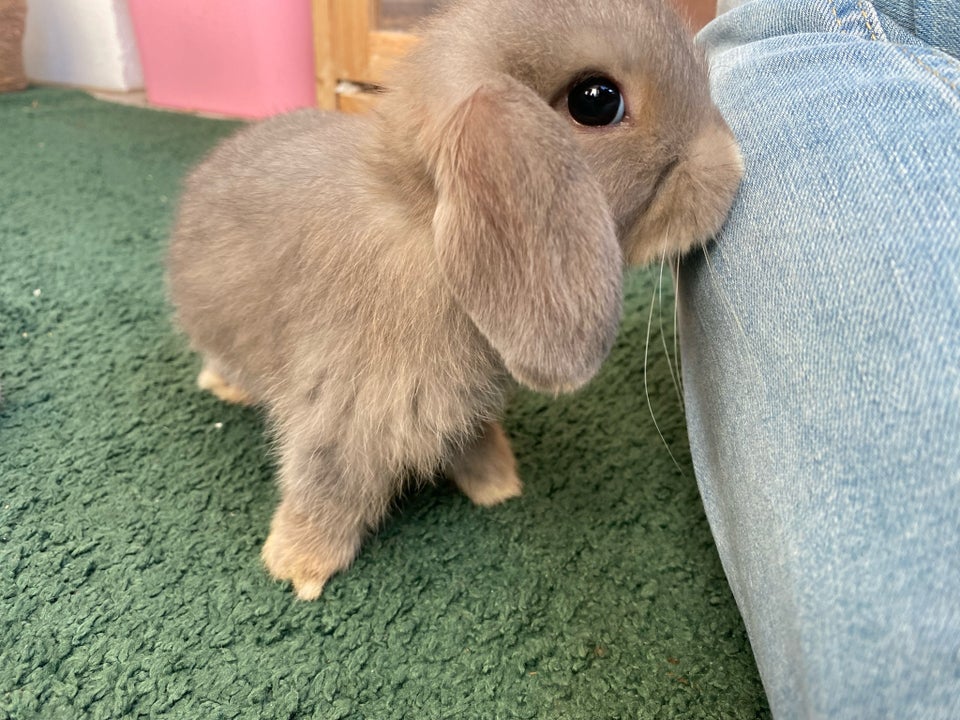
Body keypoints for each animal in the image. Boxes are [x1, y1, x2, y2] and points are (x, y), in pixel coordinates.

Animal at [169, 0, 748, 600]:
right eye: (597, 100)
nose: (732, 164)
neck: (425, 220)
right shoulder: (342, 412)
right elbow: (327, 485)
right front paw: (297, 566)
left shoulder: (458, 403)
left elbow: (472, 440)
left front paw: (499, 484)